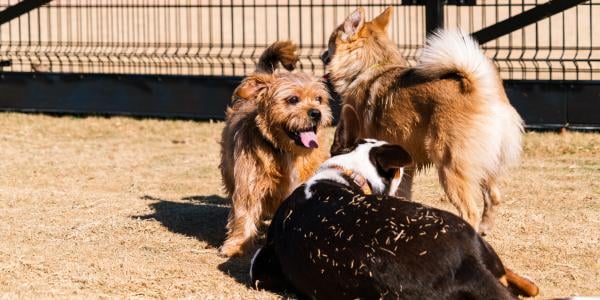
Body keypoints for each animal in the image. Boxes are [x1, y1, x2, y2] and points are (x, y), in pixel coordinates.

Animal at [220, 40, 332, 258]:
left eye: (319, 99)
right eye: (293, 99)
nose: (316, 113)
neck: (286, 150)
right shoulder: (249, 184)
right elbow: (244, 214)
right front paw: (237, 245)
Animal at [322, 6, 524, 232]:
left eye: (330, 42)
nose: (322, 55)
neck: (370, 67)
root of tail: (482, 90)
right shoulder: (404, 166)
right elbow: (403, 193)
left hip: (449, 166)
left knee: (469, 211)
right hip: (485, 165)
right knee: (494, 197)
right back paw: (484, 229)